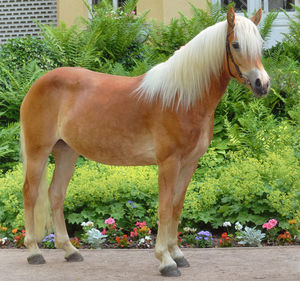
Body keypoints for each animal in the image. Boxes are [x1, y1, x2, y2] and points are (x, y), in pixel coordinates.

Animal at [21, 7, 270, 276]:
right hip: (38, 151)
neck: (181, 98)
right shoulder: (168, 163)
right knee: (30, 193)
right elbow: (164, 207)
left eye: (260, 44)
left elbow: (176, 206)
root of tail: (37, 84)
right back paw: (34, 252)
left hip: (67, 152)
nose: (263, 84)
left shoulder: (190, 163)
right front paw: (166, 261)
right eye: (235, 44)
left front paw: (177, 254)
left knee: (56, 194)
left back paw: (70, 250)